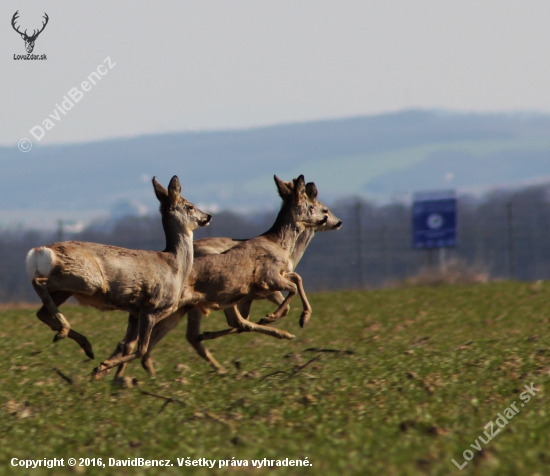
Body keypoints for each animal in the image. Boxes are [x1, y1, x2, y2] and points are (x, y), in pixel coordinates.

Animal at [25, 175, 211, 360]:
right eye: (190, 206)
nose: (208, 216)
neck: (176, 266)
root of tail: (40, 252)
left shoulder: (135, 311)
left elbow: (128, 345)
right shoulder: (151, 306)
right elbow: (141, 349)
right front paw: (104, 366)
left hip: (68, 287)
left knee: (42, 312)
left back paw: (86, 346)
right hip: (88, 280)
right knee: (38, 282)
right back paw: (65, 332)